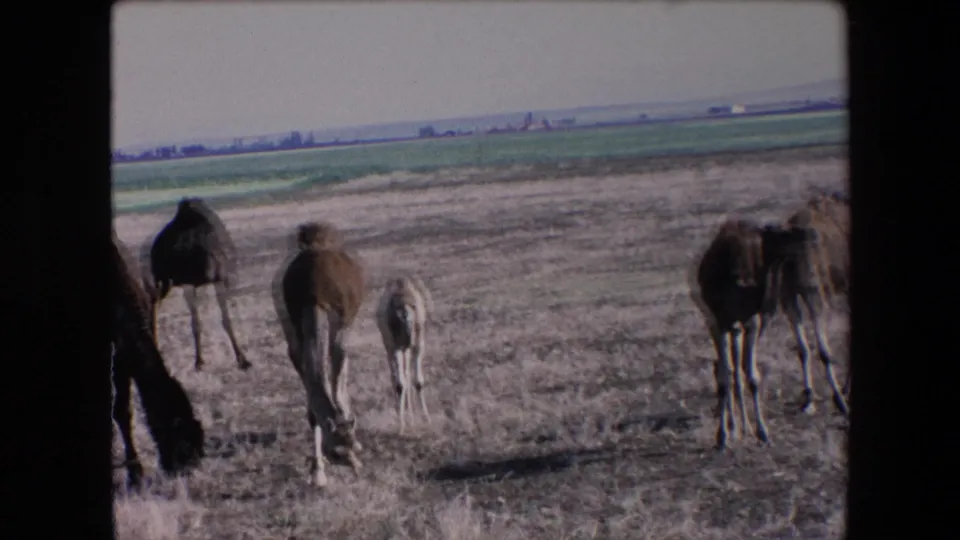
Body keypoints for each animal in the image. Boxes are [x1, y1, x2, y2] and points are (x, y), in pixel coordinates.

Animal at [144, 197, 250, 371]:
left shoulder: (216, 279)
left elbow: (225, 320)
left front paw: (242, 359)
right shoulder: (188, 282)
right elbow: (196, 323)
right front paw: (199, 361)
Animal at [273, 221, 365, 487]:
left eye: (349, 445)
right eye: (336, 452)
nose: (357, 468)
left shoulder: (341, 325)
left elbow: (338, 378)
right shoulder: (294, 338)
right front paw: (317, 473)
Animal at [375, 275, 434, 433]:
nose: (409, 337)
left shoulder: (417, 345)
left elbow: (417, 381)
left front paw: (426, 419)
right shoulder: (395, 345)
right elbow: (400, 383)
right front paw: (401, 425)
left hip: (405, 348)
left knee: (405, 375)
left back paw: (411, 416)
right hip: (391, 346)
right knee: (396, 377)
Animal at [691, 218, 816, 450]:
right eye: (782, 234)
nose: (810, 233)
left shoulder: (751, 320)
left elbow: (752, 377)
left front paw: (761, 432)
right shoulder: (720, 321)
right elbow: (725, 377)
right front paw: (722, 436)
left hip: (747, 323)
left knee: (737, 369)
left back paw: (743, 427)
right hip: (726, 323)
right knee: (727, 368)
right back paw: (734, 427)